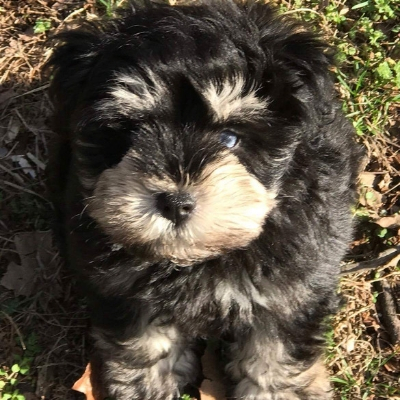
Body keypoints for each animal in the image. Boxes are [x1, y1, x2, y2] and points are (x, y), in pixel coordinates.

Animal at [46, 1, 360, 398]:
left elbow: (273, 356)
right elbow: (145, 348)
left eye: (229, 138)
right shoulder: (127, 292)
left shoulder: (291, 291)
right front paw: (147, 386)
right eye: (131, 132)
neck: (198, 260)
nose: (175, 203)